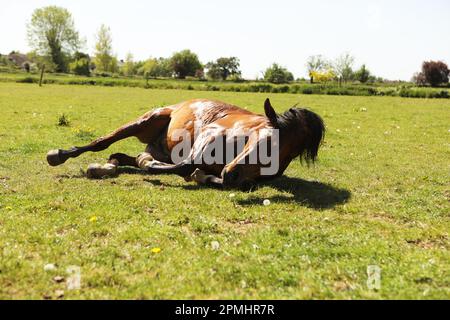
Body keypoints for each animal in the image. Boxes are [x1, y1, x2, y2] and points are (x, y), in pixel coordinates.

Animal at [47, 97, 326, 188]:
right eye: (267, 141)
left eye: (286, 156)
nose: (232, 174)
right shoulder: (207, 137)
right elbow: (186, 165)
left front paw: (204, 176)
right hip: (145, 121)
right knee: (102, 143)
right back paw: (59, 154)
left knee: (119, 156)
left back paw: (109, 165)